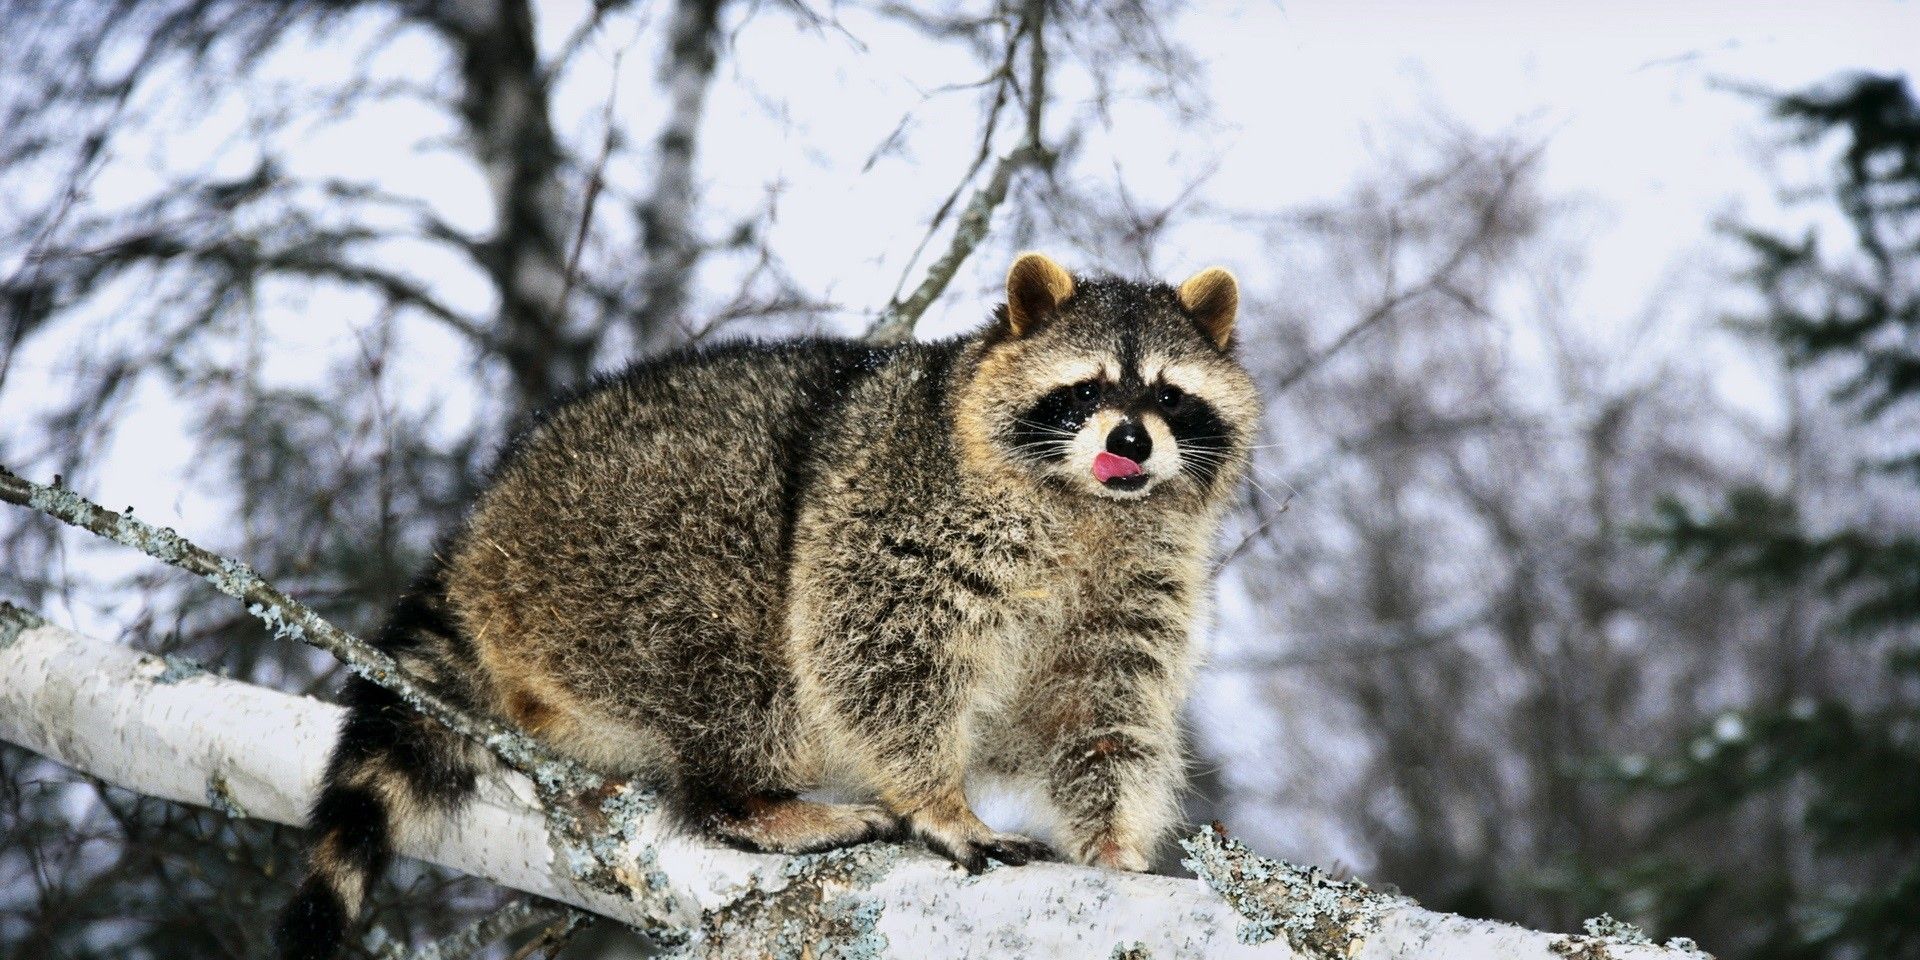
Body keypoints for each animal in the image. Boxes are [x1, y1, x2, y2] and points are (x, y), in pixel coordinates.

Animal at [275, 253, 1259, 959]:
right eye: (1087, 388)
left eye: (1168, 394)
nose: (1131, 439)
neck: (1091, 510)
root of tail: (480, 535)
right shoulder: (898, 511)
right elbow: (874, 651)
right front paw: (938, 799)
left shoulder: (1137, 582)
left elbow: (1103, 709)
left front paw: (1114, 842)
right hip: (615, 548)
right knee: (739, 655)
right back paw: (748, 798)